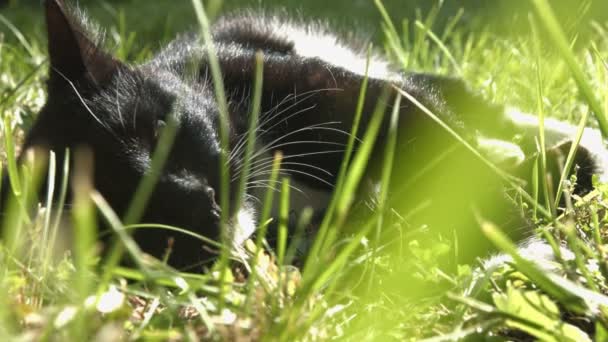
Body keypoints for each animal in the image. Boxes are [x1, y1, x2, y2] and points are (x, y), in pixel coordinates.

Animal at [2, 0, 604, 272]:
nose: (197, 201)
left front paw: (525, 261)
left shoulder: (343, 90)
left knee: (474, 107)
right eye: (110, 210)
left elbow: (433, 138)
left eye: (154, 131)